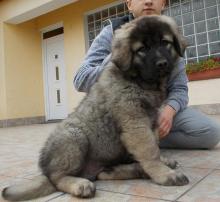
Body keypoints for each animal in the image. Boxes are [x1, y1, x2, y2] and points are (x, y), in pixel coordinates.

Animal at [1, 15, 189, 201]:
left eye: (165, 42)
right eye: (142, 49)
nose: (162, 64)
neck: (140, 81)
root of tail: (45, 169)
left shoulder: (153, 121)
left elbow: (155, 145)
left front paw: (163, 162)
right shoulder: (135, 123)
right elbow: (150, 151)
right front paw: (165, 174)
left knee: (102, 174)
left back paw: (131, 170)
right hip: (74, 137)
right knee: (57, 178)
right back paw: (80, 184)